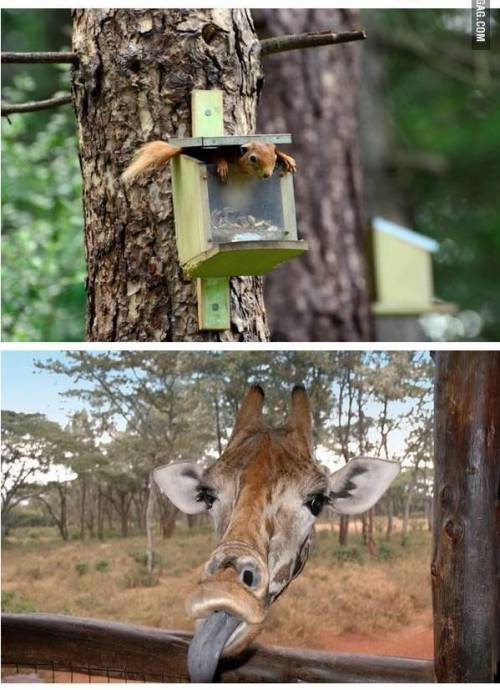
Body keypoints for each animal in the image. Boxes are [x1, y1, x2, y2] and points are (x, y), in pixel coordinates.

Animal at [122, 140, 296, 184]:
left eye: (273, 159)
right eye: (253, 158)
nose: (267, 174)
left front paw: (287, 158)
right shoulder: (224, 152)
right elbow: (217, 156)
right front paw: (223, 166)